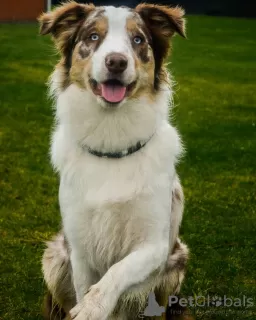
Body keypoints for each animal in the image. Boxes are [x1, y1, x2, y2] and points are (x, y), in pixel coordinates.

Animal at [39, 2, 189, 320]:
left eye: (138, 40)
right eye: (93, 37)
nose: (117, 62)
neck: (112, 144)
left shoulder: (154, 245)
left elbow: (117, 271)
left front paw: (91, 308)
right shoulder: (78, 247)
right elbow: (85, 286)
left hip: (176, 263)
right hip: (55, 255)